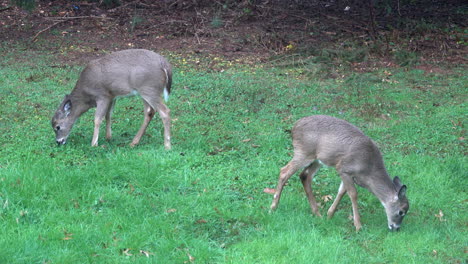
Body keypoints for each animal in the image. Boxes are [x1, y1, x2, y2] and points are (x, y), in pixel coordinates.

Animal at [270, 115, 410, 231]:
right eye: (401, 211)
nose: (396, 228)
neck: (369, 170)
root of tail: (294, 127)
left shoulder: (348, 174)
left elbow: (342, 191)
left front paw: (329, 215)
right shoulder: (344, 168)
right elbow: (353, 194)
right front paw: (358, 225)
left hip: (318, 159)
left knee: (305, 176)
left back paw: (317, 214)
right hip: (304, 152)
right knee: (284, 172)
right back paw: (273, 208)